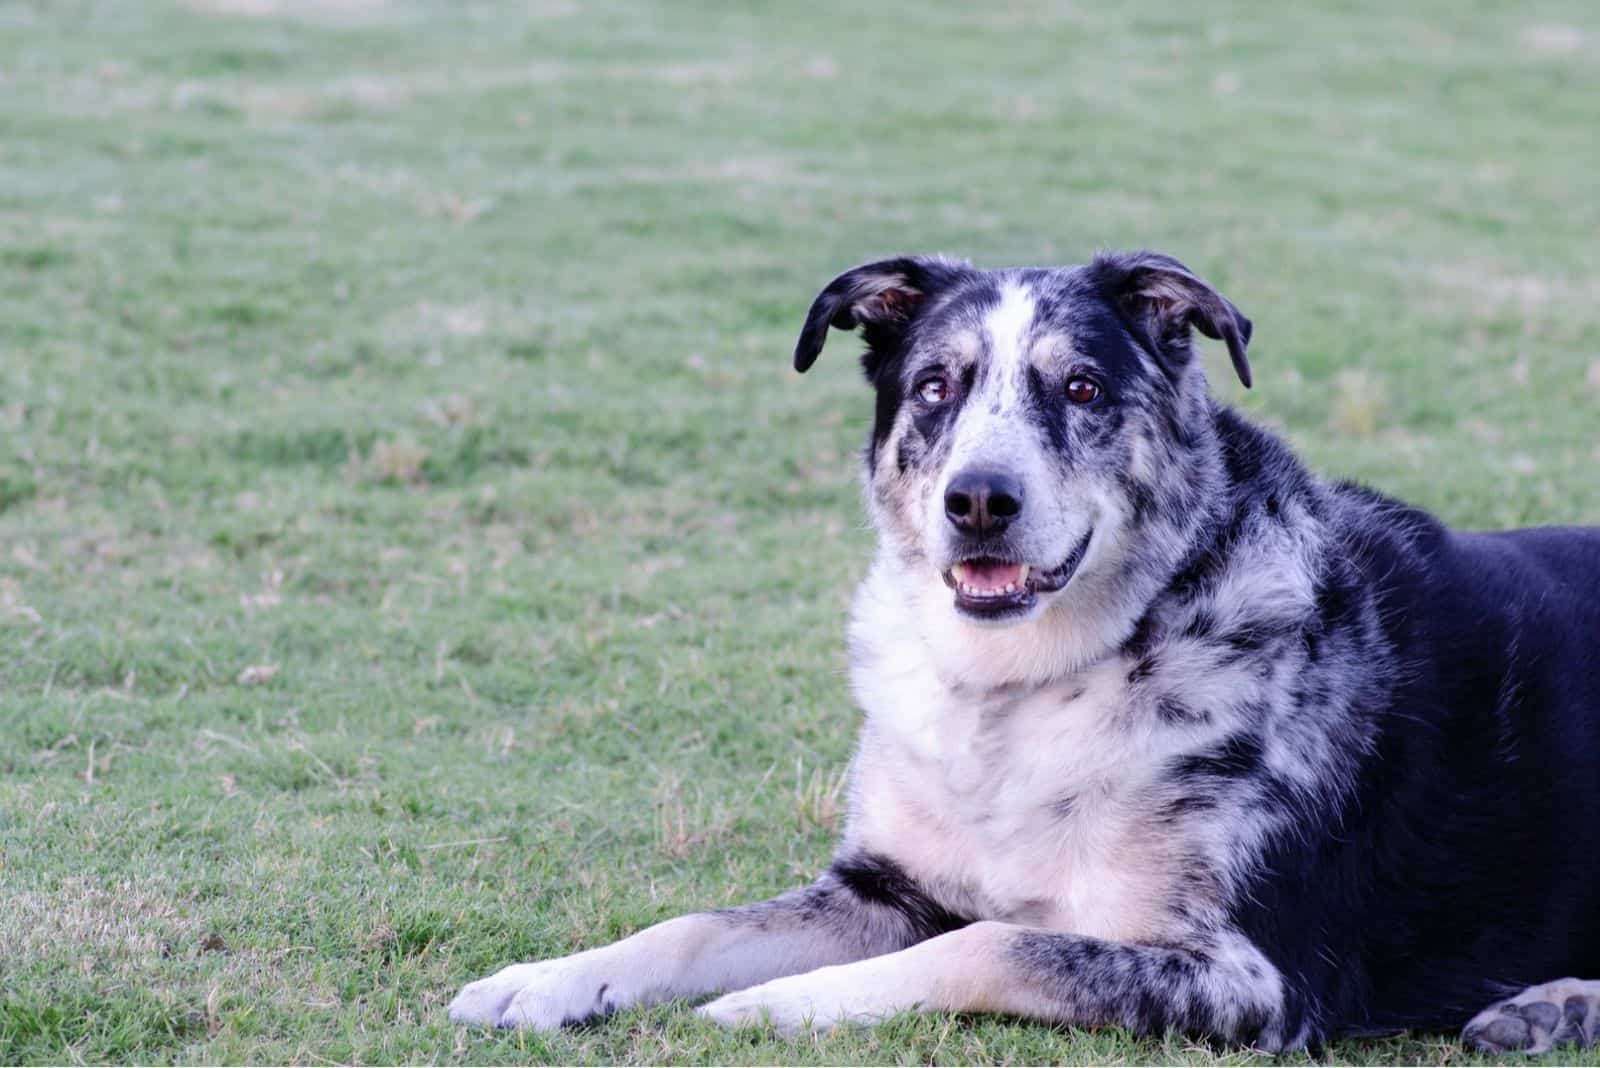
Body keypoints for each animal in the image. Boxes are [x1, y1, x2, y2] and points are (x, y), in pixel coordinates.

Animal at [448, 254, 1600, 1055]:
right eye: (934, 387)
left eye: (1082, 389)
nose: (978, 501)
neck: (1029, 688)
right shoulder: (883, 888)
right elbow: (689, 926)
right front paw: (546, 980)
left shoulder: (1254, 980)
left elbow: (987, 944)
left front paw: (778, 1003)